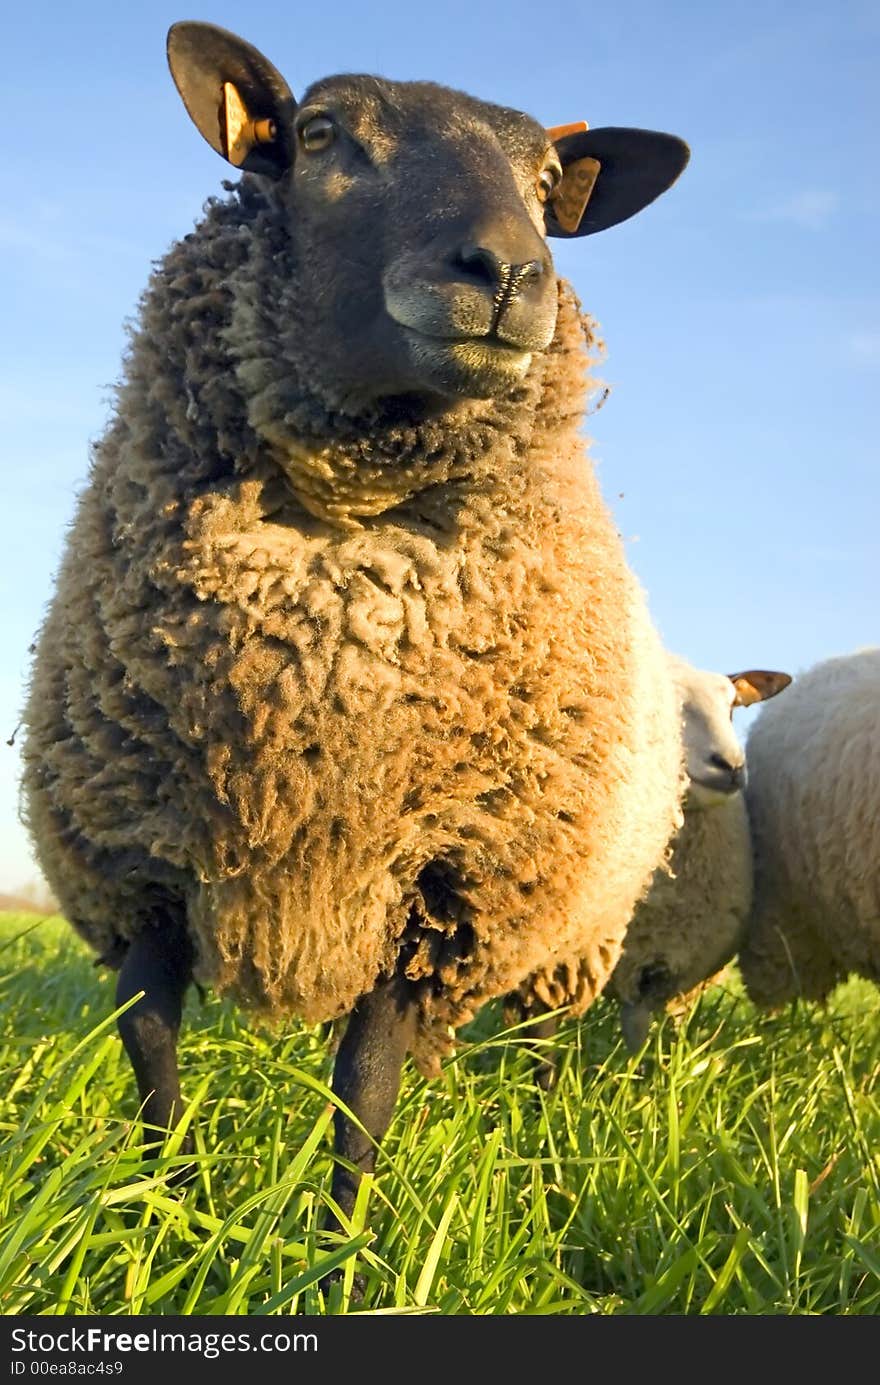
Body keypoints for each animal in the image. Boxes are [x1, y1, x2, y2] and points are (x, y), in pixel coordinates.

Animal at [20, 16, 692, 1218]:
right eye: (323, 133)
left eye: (546, 178)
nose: (509, 271)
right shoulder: (139, 862)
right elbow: (150, 1050)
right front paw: (173, 1206)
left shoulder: (449, 883)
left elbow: (363, 1082)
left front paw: (341, 1237)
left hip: (571, 928)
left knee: (534, 1046)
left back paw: (536, 1145)